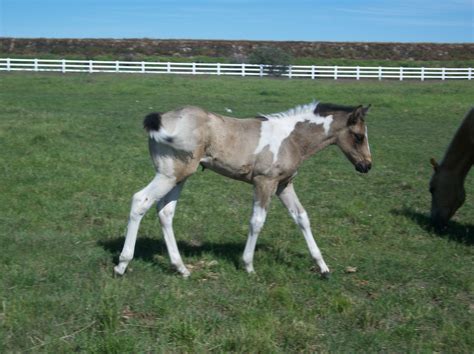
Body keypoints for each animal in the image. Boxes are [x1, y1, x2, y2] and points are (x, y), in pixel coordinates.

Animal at [114, 101, 370, 278]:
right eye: (358, 136)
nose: (367, 166)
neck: (291, 139)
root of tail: (162, 118)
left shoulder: (284, 185)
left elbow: (302, 218)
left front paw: (323, 268)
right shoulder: (264, 182)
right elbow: (257, 221)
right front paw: (248, 266)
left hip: (179, 177)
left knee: (165, 212)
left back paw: (181, 268)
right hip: (170, 175)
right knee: (140, 200)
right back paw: (122, 264)